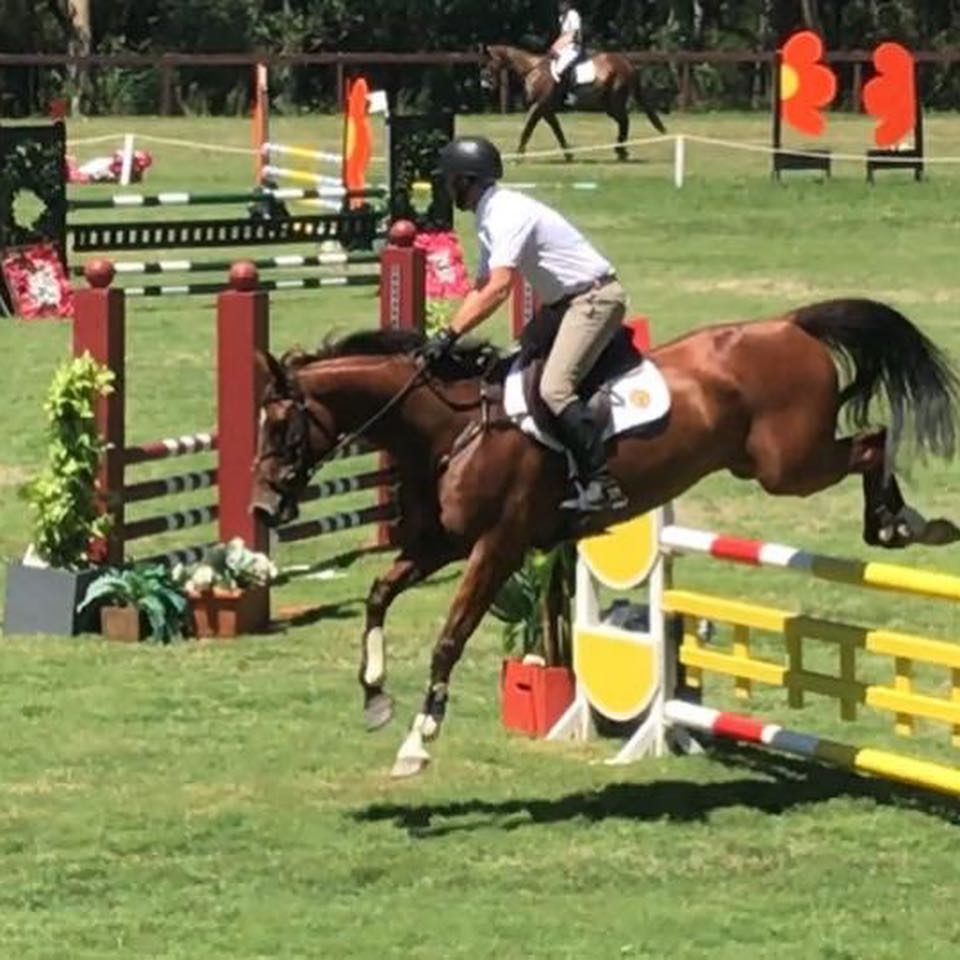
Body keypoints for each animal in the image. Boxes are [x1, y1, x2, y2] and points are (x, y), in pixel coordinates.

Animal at [250, 298, 960, 779]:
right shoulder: (441, 545)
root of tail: (789, 324)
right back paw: (902, 521)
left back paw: (904, 523)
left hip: (790, 465)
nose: (262, 506)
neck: (449, 428)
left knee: (872, 440)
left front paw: (417, 742)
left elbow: (450, 636)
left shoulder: (497, 547)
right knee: (868, 440)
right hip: (770, 463)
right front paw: (375, 696)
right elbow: (377, 594)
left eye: (281, 426)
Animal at [480, 44, 667, 162]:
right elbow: (558, 131)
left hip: (613, 102)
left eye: (489, 62)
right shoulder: (546, 110)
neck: (533, 70)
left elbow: (527, 130)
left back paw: (621, 151)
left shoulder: (538, 107)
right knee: (623, 122)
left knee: (624, 121)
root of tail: (626, 63)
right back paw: (620, 150)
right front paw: (569, 154)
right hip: (609, 105)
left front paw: (518, 157)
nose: (485, 84)